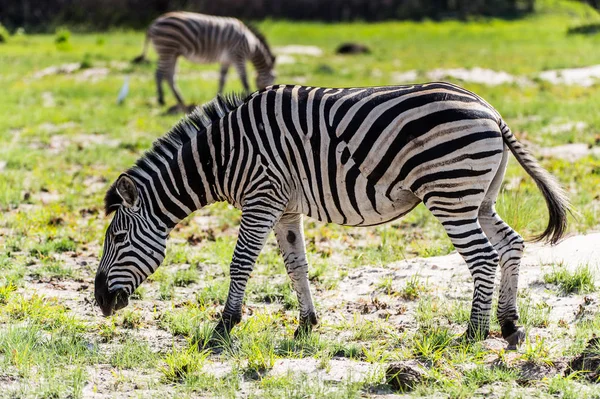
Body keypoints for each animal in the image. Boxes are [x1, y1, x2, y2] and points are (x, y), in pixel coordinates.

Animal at [94, 83, 568, 348]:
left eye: (116, 239)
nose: (99, 302)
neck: (223, 155)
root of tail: (491, 110)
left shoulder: (261, 197)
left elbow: (241, 263)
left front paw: (224, 327)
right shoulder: (283, 207)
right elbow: (296, 265)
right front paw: (306, 324)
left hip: (450, 194)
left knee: (483, 257)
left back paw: (472, 333)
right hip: (478, 197)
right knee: (510, 245)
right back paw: (509, 325)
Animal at [132, 11, 276, 111]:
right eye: (274, 77)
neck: (252, 45)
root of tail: (152, 24)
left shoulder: (226, 60)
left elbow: (222, 79)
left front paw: (218, 97)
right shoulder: (237, 56)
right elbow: (244, 79)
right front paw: (247, 95)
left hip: (173, 53)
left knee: (169, 77)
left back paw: (181, 101)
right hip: (167, 49)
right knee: (159, 74)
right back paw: (161, 100)